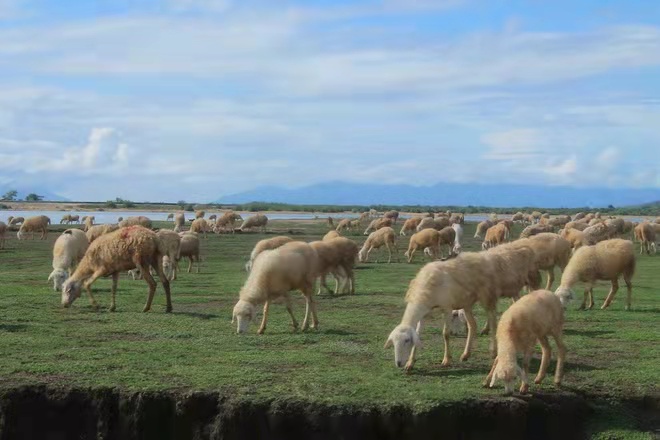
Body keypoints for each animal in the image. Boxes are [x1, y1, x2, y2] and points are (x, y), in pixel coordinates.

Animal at [385, 245, 538, 370]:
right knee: (473, 325)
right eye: (393, 343)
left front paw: (446, 360)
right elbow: (418, 333)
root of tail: (486, 259)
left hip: (487, 297)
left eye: (406, 341)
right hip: (466, 303)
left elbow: (445, 334)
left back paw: (493, 351)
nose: (398, 363)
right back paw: (466, 354)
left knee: (493, 322)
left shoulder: (447, 308)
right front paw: (410, 362)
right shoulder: (424, 313)